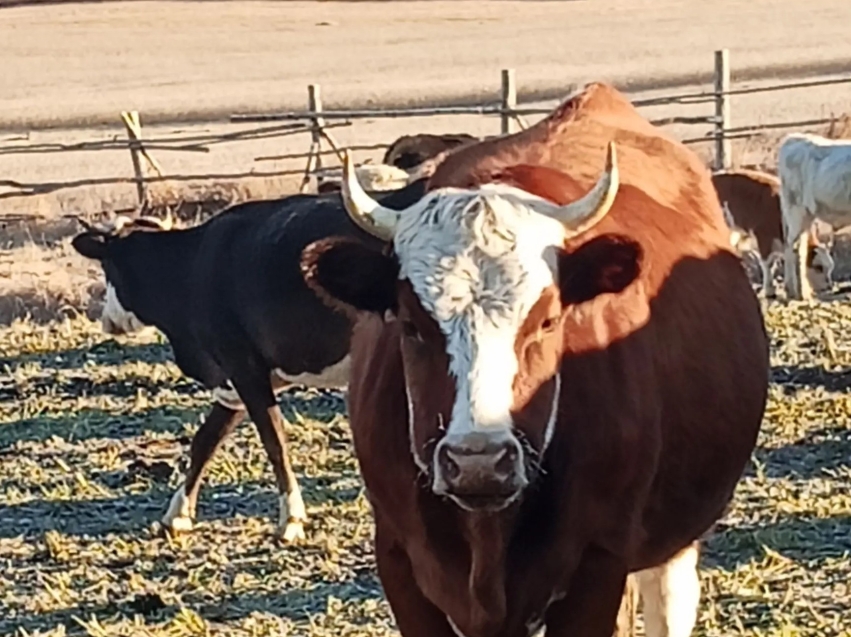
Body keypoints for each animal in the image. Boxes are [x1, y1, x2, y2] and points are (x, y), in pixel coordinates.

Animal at [70, 180, 427, 542]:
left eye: (108, 268)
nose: (107, 320)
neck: (192, 269)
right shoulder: (234, 382)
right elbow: (205, 440)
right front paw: (178, 514)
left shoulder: (244, 368)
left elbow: (274, 441)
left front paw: (291, 518)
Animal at [300, 82, 769, 637]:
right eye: (411, 325)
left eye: (548, 321)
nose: (478, 461)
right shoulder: (399, 562)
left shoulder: (598, 565)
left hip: (672, 541)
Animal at [711, 168, 834, 297]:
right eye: (819, 267)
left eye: (831, 268)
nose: (830, 287)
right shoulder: (763, 236)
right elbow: (768, 263)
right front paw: (769, 290)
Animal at [778, 132, 851, 300]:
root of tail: (793, 137)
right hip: (795, 210)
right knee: (791, 245)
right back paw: (795, 291)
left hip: (807, 216)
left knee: (801, 248)